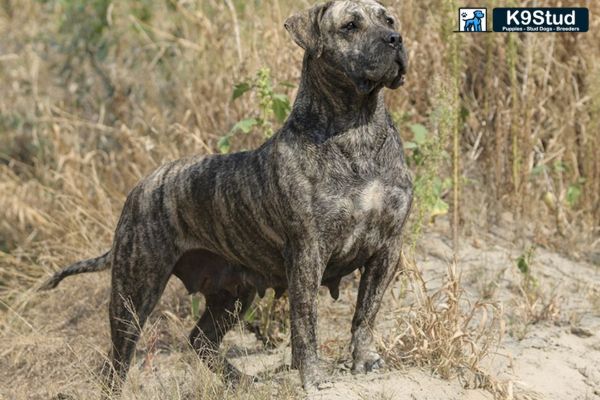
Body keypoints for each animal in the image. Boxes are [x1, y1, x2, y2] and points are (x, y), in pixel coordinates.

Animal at [38, 0, 412, 392]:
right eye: (350, 26)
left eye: (389, 19)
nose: (395, 39)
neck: (357, 129)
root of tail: (142, 187)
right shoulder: (308, 253)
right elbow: (305, 325)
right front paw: (312, 378)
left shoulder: (388, 247)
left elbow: (366, 312)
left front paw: (365, 360)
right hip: (134, 292)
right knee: (118, 360)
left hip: (231, 294)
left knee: (200, 339)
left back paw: (239, 380)